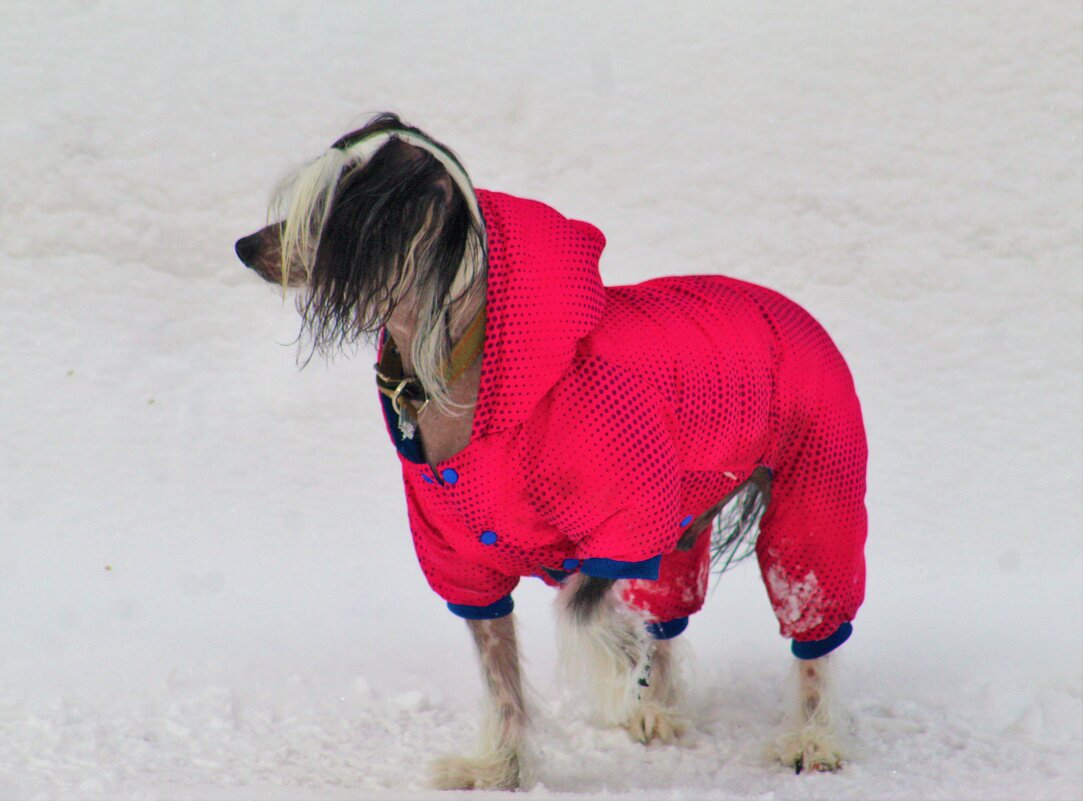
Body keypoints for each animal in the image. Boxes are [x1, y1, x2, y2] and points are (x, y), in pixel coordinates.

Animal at [232, 112, 866, 788]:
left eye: (334, 205)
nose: (245, 246)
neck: (467, 370)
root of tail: (786, 304)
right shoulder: (467, 565)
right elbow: (501, 678)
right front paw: (501, 768)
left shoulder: (623, 528)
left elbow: (578, 610)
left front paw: (619, 662)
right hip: (685, 524)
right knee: (667, 614)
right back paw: (659, 710)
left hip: (814, 491)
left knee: (812, 624)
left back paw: (811, 736)